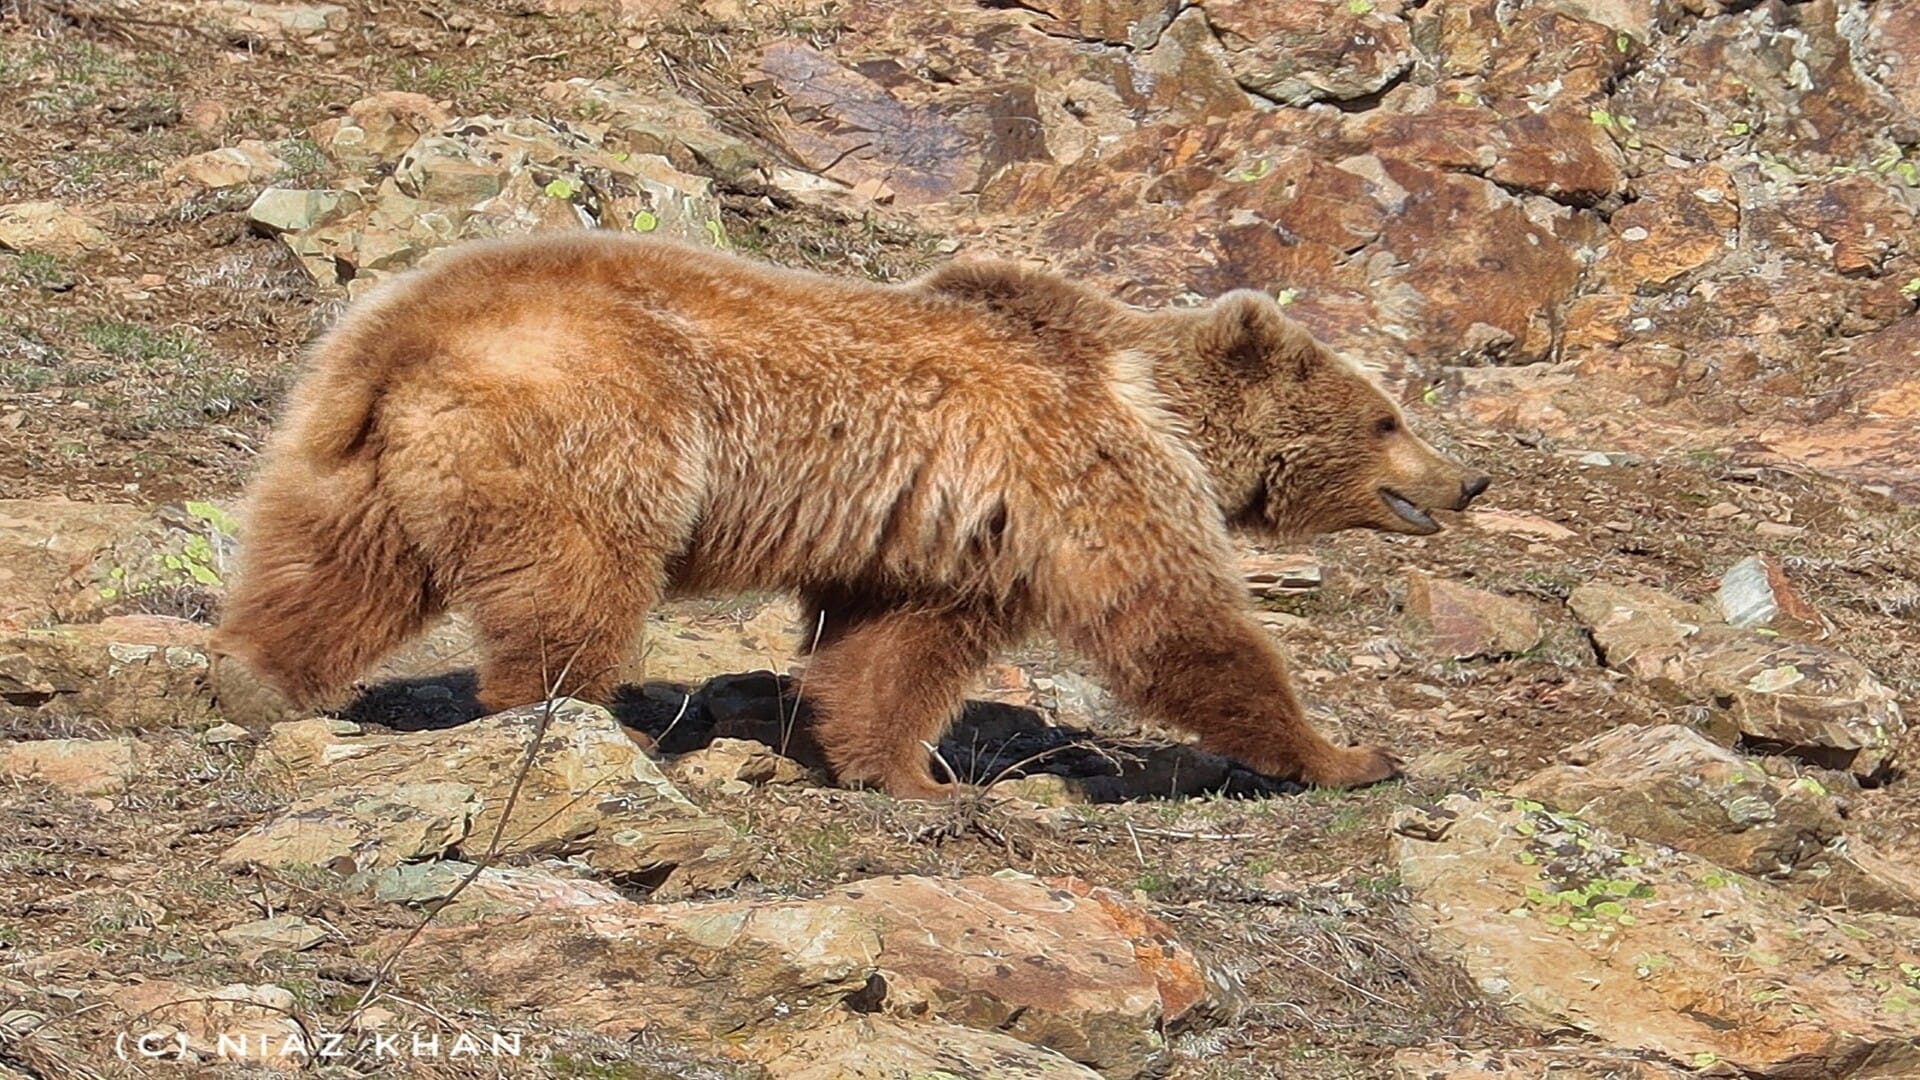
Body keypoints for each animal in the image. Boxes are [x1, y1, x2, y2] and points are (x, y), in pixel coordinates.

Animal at [209, 232, 1489, 798]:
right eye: (1386, 415)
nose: (1464, 481)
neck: (1154, 403)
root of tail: (404, 332)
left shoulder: (948, 536)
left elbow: (890, 650)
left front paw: (900, 771)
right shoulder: (1076, 473)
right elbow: (1177, 621)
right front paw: (1350, 752)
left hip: (354, 464)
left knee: (326, 577)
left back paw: (249, 679)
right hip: (592, 433)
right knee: (576, 592)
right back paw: (599, 727)